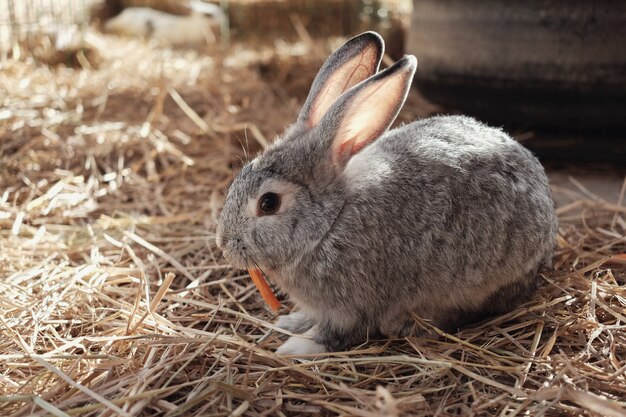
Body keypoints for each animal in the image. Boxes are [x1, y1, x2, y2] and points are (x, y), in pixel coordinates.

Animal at [214, 30, 556, 354]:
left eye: (269, 203)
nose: (224, 244)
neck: (329, 224)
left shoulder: (353, 306)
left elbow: (338, 333)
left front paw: (297, 346)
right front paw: (289, 322)